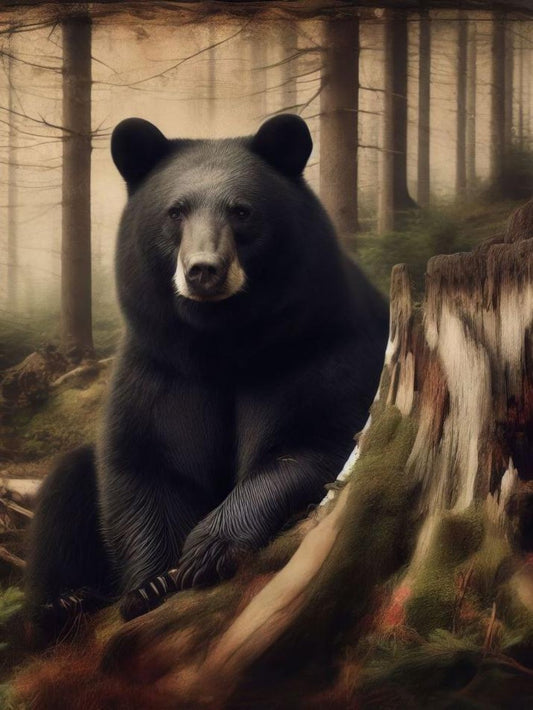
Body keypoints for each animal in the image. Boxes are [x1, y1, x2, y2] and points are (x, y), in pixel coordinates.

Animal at [25, 114, 389, 634]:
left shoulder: (320, 347)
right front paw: (151, 585)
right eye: (176, 212)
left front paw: (207, 550)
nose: (204, 270)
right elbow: (148, 464)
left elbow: (313, 442)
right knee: (65, 486)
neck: (222, 344)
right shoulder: (161, 367)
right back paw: (64, 602)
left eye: (241, 212)